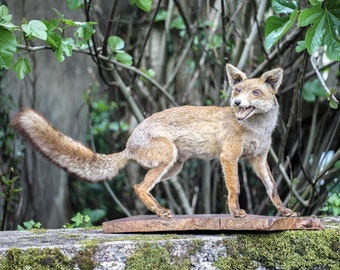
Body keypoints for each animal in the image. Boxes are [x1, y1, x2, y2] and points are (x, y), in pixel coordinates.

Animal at [10, 63, 296, 219]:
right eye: (237, 90)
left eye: (255, 92)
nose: (236, 103)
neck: (256, 129)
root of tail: (128, 145)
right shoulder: (229, 157)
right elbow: (234, 189)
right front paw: (236, 213)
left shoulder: (259, 159)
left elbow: (272, 189)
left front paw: (284, 212)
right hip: (167, 158)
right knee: (139, 187)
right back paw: (160, 213)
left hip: (173, 167)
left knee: (140, 186)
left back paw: (159, 210)